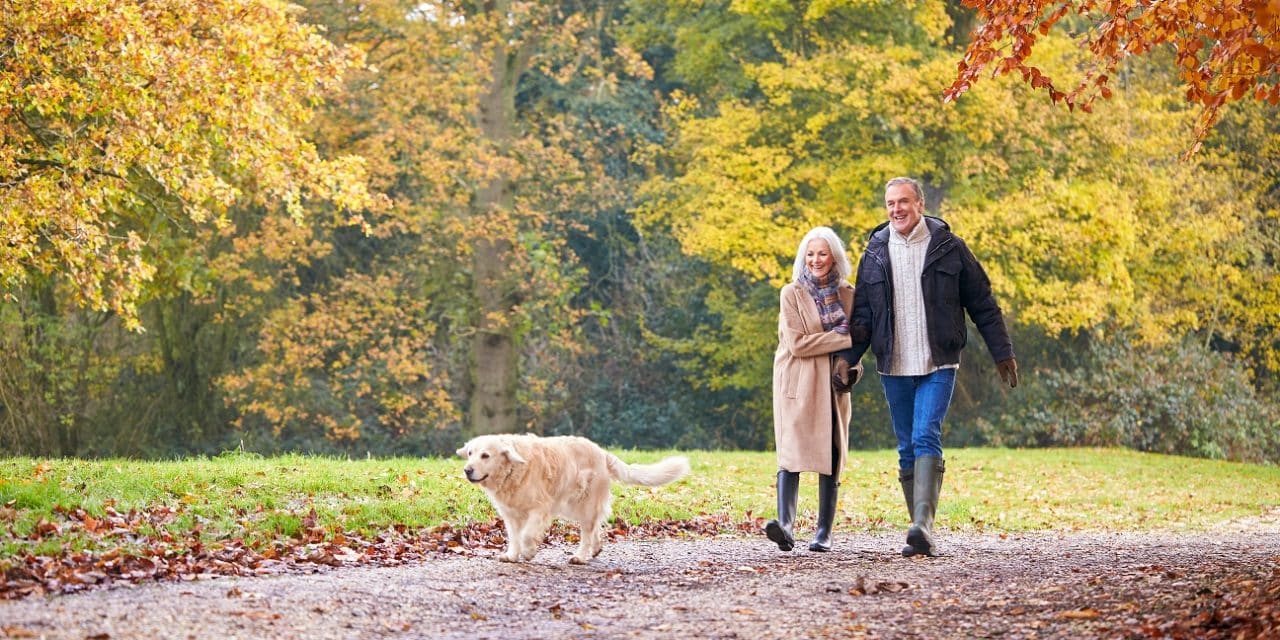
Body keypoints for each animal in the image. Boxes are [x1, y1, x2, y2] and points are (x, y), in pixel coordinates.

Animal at [455, 432, 686, 563]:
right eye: (470, 453)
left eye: (485, 455)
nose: (467, 470)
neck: (512, 470)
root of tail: (602, 452)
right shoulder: (511, 514)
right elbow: (515, 537)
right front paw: (512, 556)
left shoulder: (540, 508)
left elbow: (527, 535)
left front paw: (529, 552)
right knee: (595, 527)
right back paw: (595, 548)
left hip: (585, 505)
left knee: (588, 531)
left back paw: (581, 556)